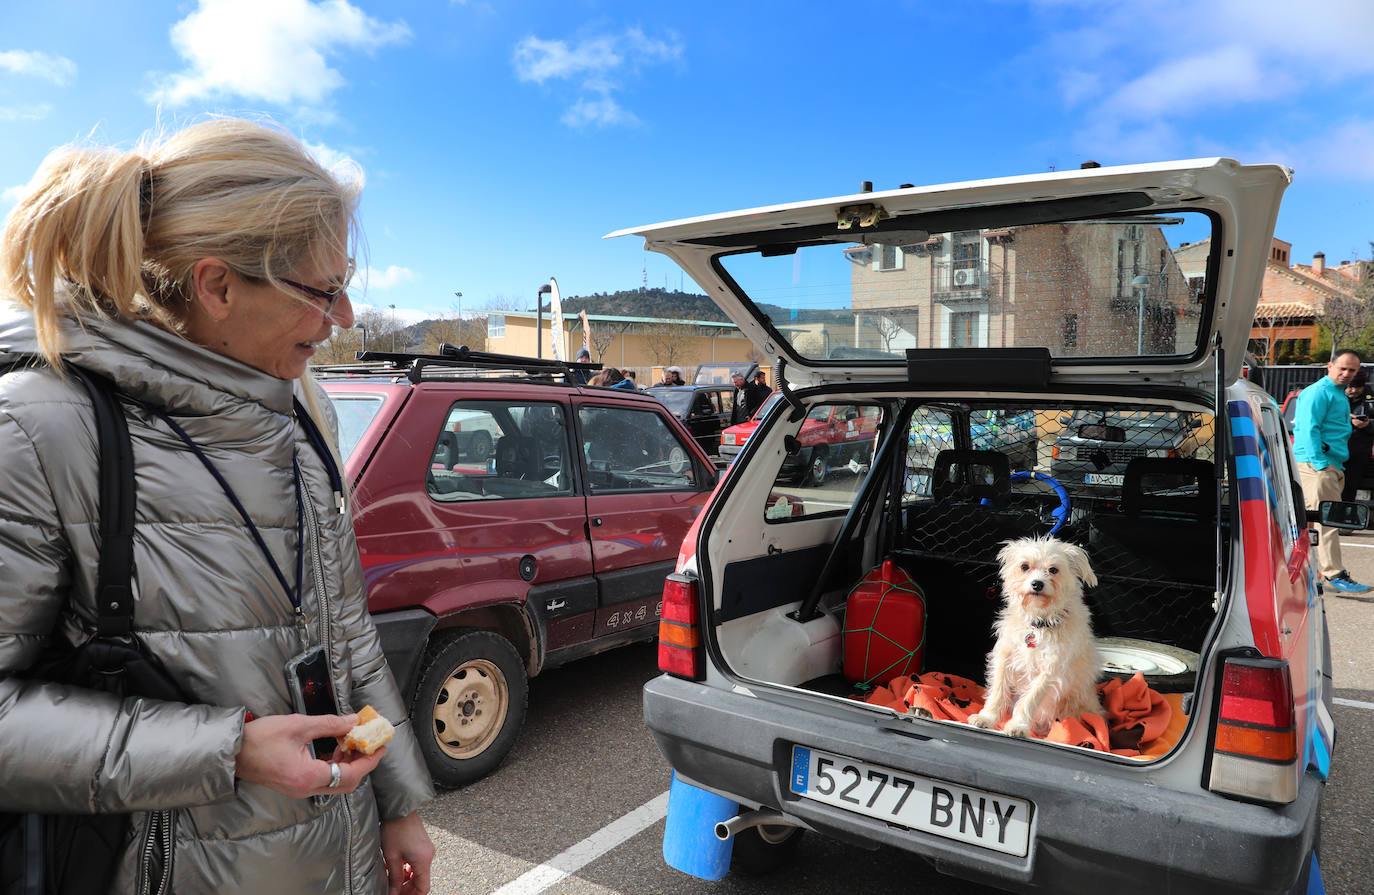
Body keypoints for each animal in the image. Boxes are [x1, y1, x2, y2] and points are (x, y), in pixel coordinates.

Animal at [967, 538, 1104, 736]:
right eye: (1024, 566)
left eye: (1053, 569)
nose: (1037, 584)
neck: (1038, 623)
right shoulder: (1005, 657)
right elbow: (998, 691)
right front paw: (987, 718)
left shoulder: (1050, 670)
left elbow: (1029, 699)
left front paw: (1018, 725)